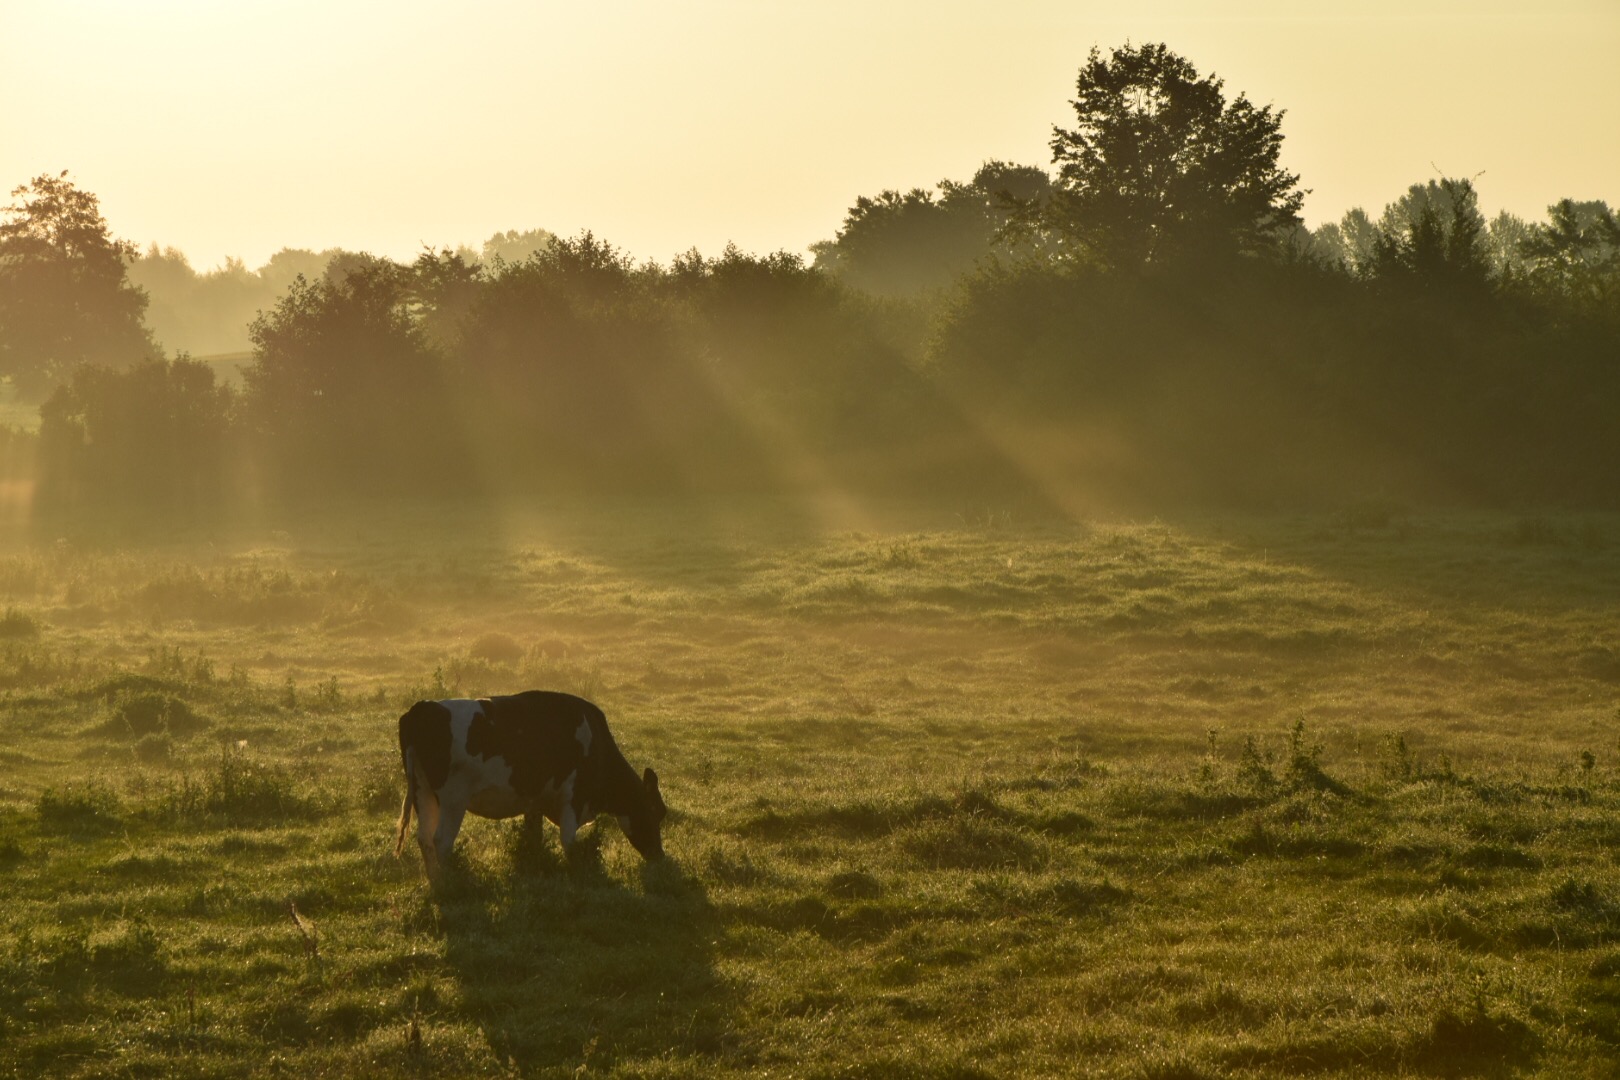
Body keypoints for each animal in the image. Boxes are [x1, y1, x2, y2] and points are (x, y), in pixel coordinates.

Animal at [392, 693, 664, 880]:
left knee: (424, 839)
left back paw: (437, 883)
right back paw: (451, 882)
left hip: (422, 792)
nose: (660, 857)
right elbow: (569, 842)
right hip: (453, 799)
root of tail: (422, 707)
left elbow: (534, 839)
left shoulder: (535, 803)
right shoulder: (574, 797)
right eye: (657, 813)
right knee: (441, 841)